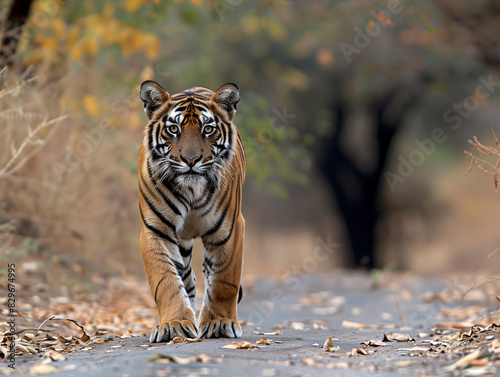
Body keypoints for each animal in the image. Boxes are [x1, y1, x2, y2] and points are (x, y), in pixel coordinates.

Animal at [137, 81, 246, 342]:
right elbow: (165, 281)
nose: (190, 159)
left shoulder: (229, 229)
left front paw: (220, 324)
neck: (191, 190)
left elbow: (225, 280)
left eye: (208, 129)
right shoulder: (155, 231)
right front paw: (173, 325)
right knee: (188, 278)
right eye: (173, 129)